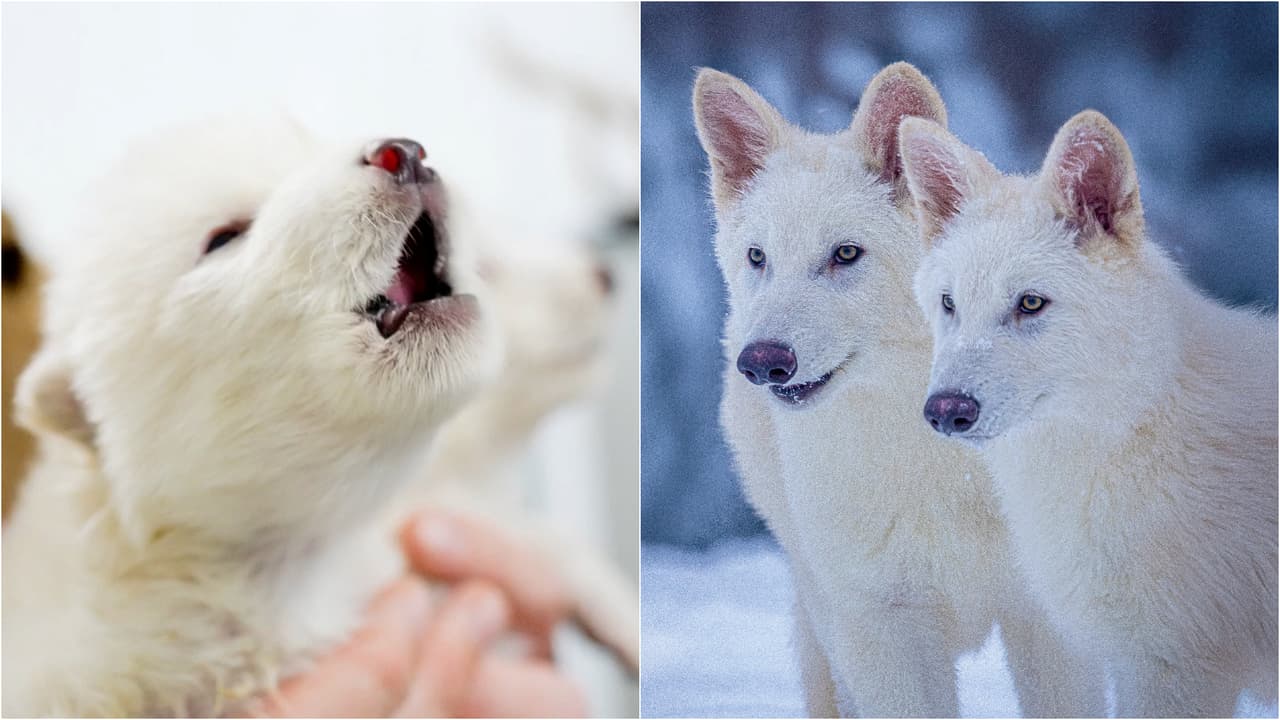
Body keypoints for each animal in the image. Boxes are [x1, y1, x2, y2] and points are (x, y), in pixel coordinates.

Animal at [694, 63, 1103, 717]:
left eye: (845, 254)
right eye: (758, 257)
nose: (761, 363)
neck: (938, 464)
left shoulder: (1048, 622)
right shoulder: (880, 630)